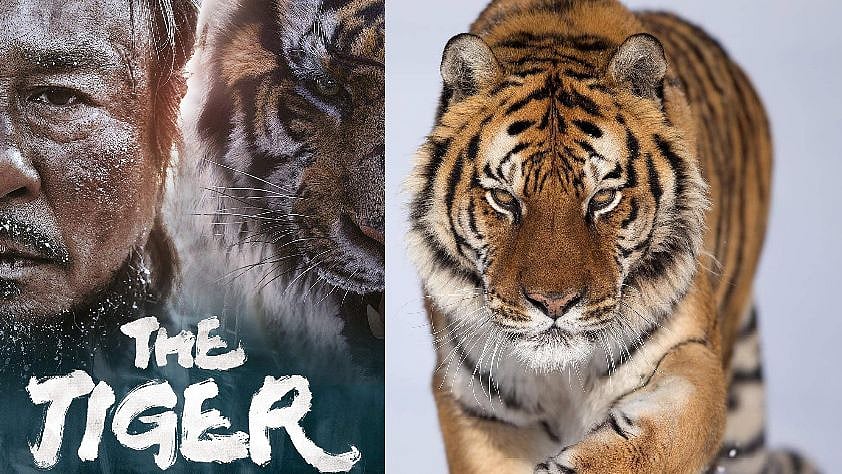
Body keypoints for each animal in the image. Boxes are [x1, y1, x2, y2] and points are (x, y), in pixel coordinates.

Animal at [407, 0, 815, 472]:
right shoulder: (476, 403)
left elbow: (672, 434)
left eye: (602, 197)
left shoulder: (690, 349)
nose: (553, 304)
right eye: (504, 198)